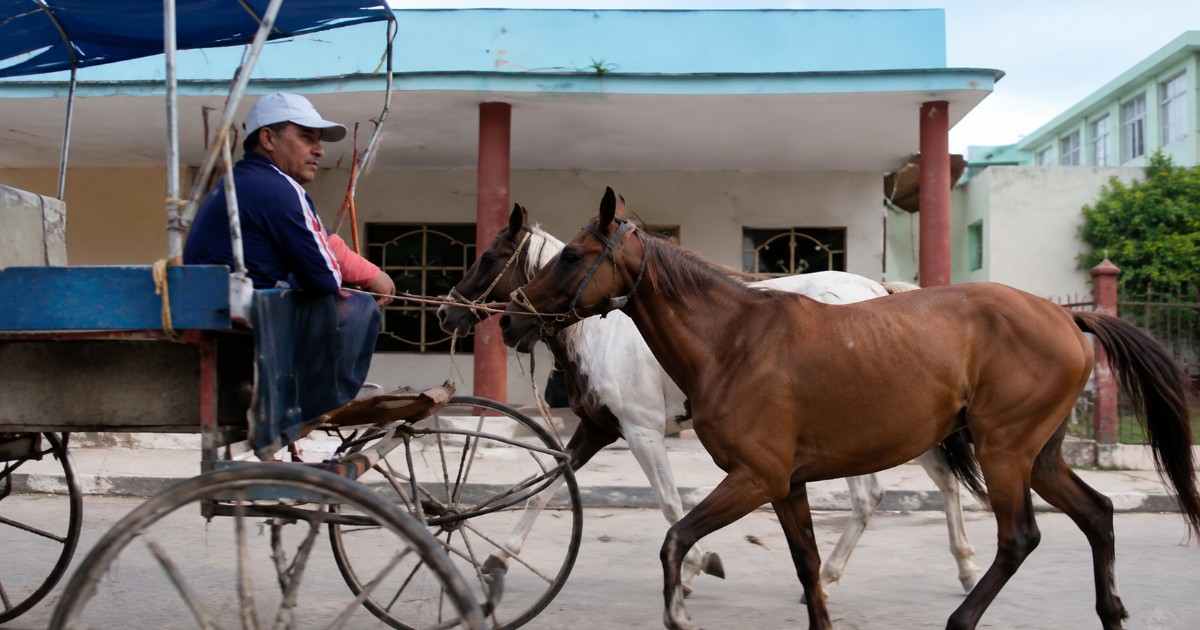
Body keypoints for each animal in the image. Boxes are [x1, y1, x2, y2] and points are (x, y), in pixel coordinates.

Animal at [438, 203, 982, 596]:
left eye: (488, 258)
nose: (445, 313)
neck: (601, 334)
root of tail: (877, 289)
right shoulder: (596, 429)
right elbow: (547, 487)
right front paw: (498, 558)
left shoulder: (641, 432)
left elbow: (667, 502)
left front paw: (698, 565)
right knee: (940, 480)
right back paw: (960, 567)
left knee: (878, 493)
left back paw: (836, 574)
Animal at [499, 187, 1200, 630]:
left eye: (570, 255)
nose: (511, 320)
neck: (733, 339)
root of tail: (1067, 317)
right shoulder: (785, 484)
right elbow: (807, 568)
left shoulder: (753, 477)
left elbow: (676, 540)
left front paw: (684, 602)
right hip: (1039, 454)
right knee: (1098, 513)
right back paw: (1109, 612)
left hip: (1004, 450)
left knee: (1019, 536)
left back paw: (963, 613)